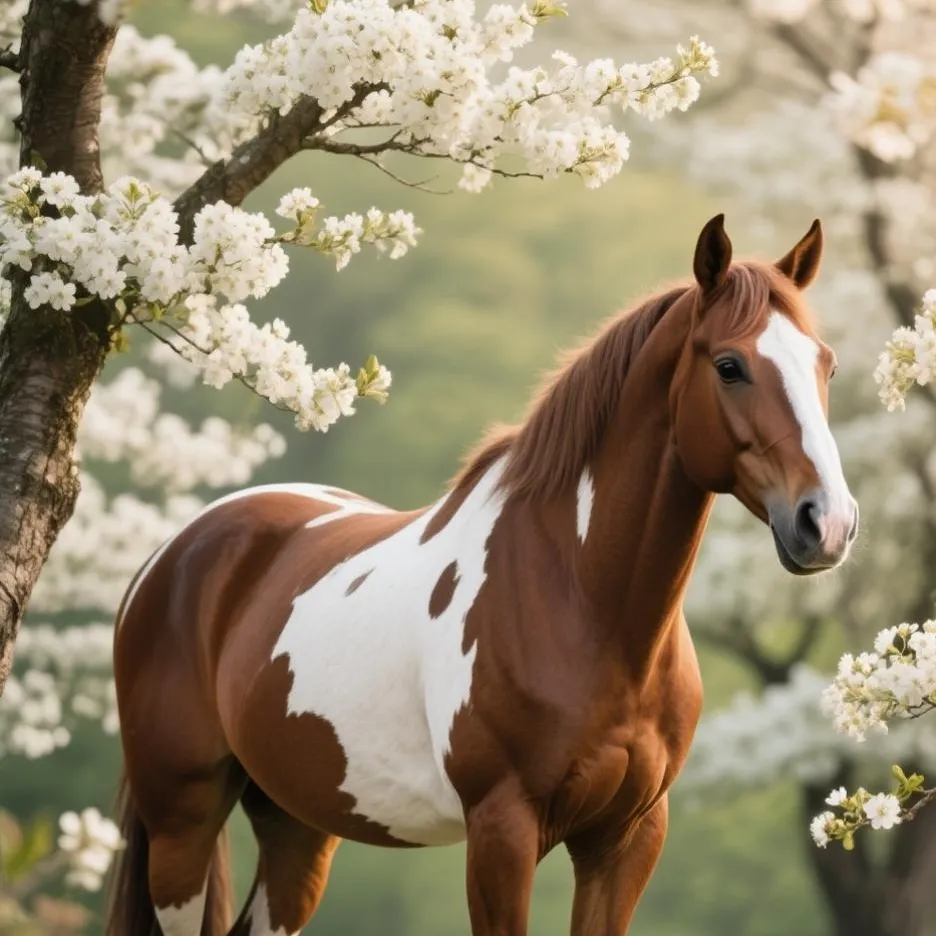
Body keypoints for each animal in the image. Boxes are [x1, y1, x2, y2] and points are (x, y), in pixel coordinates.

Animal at [105, 213, 858, 936]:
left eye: (827, 365)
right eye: (730, 365)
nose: (827, 523)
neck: (584, 606)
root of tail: (173, 555)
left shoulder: (627, 837)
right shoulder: (502, 831)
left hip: (297, 824)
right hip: (182, 825)